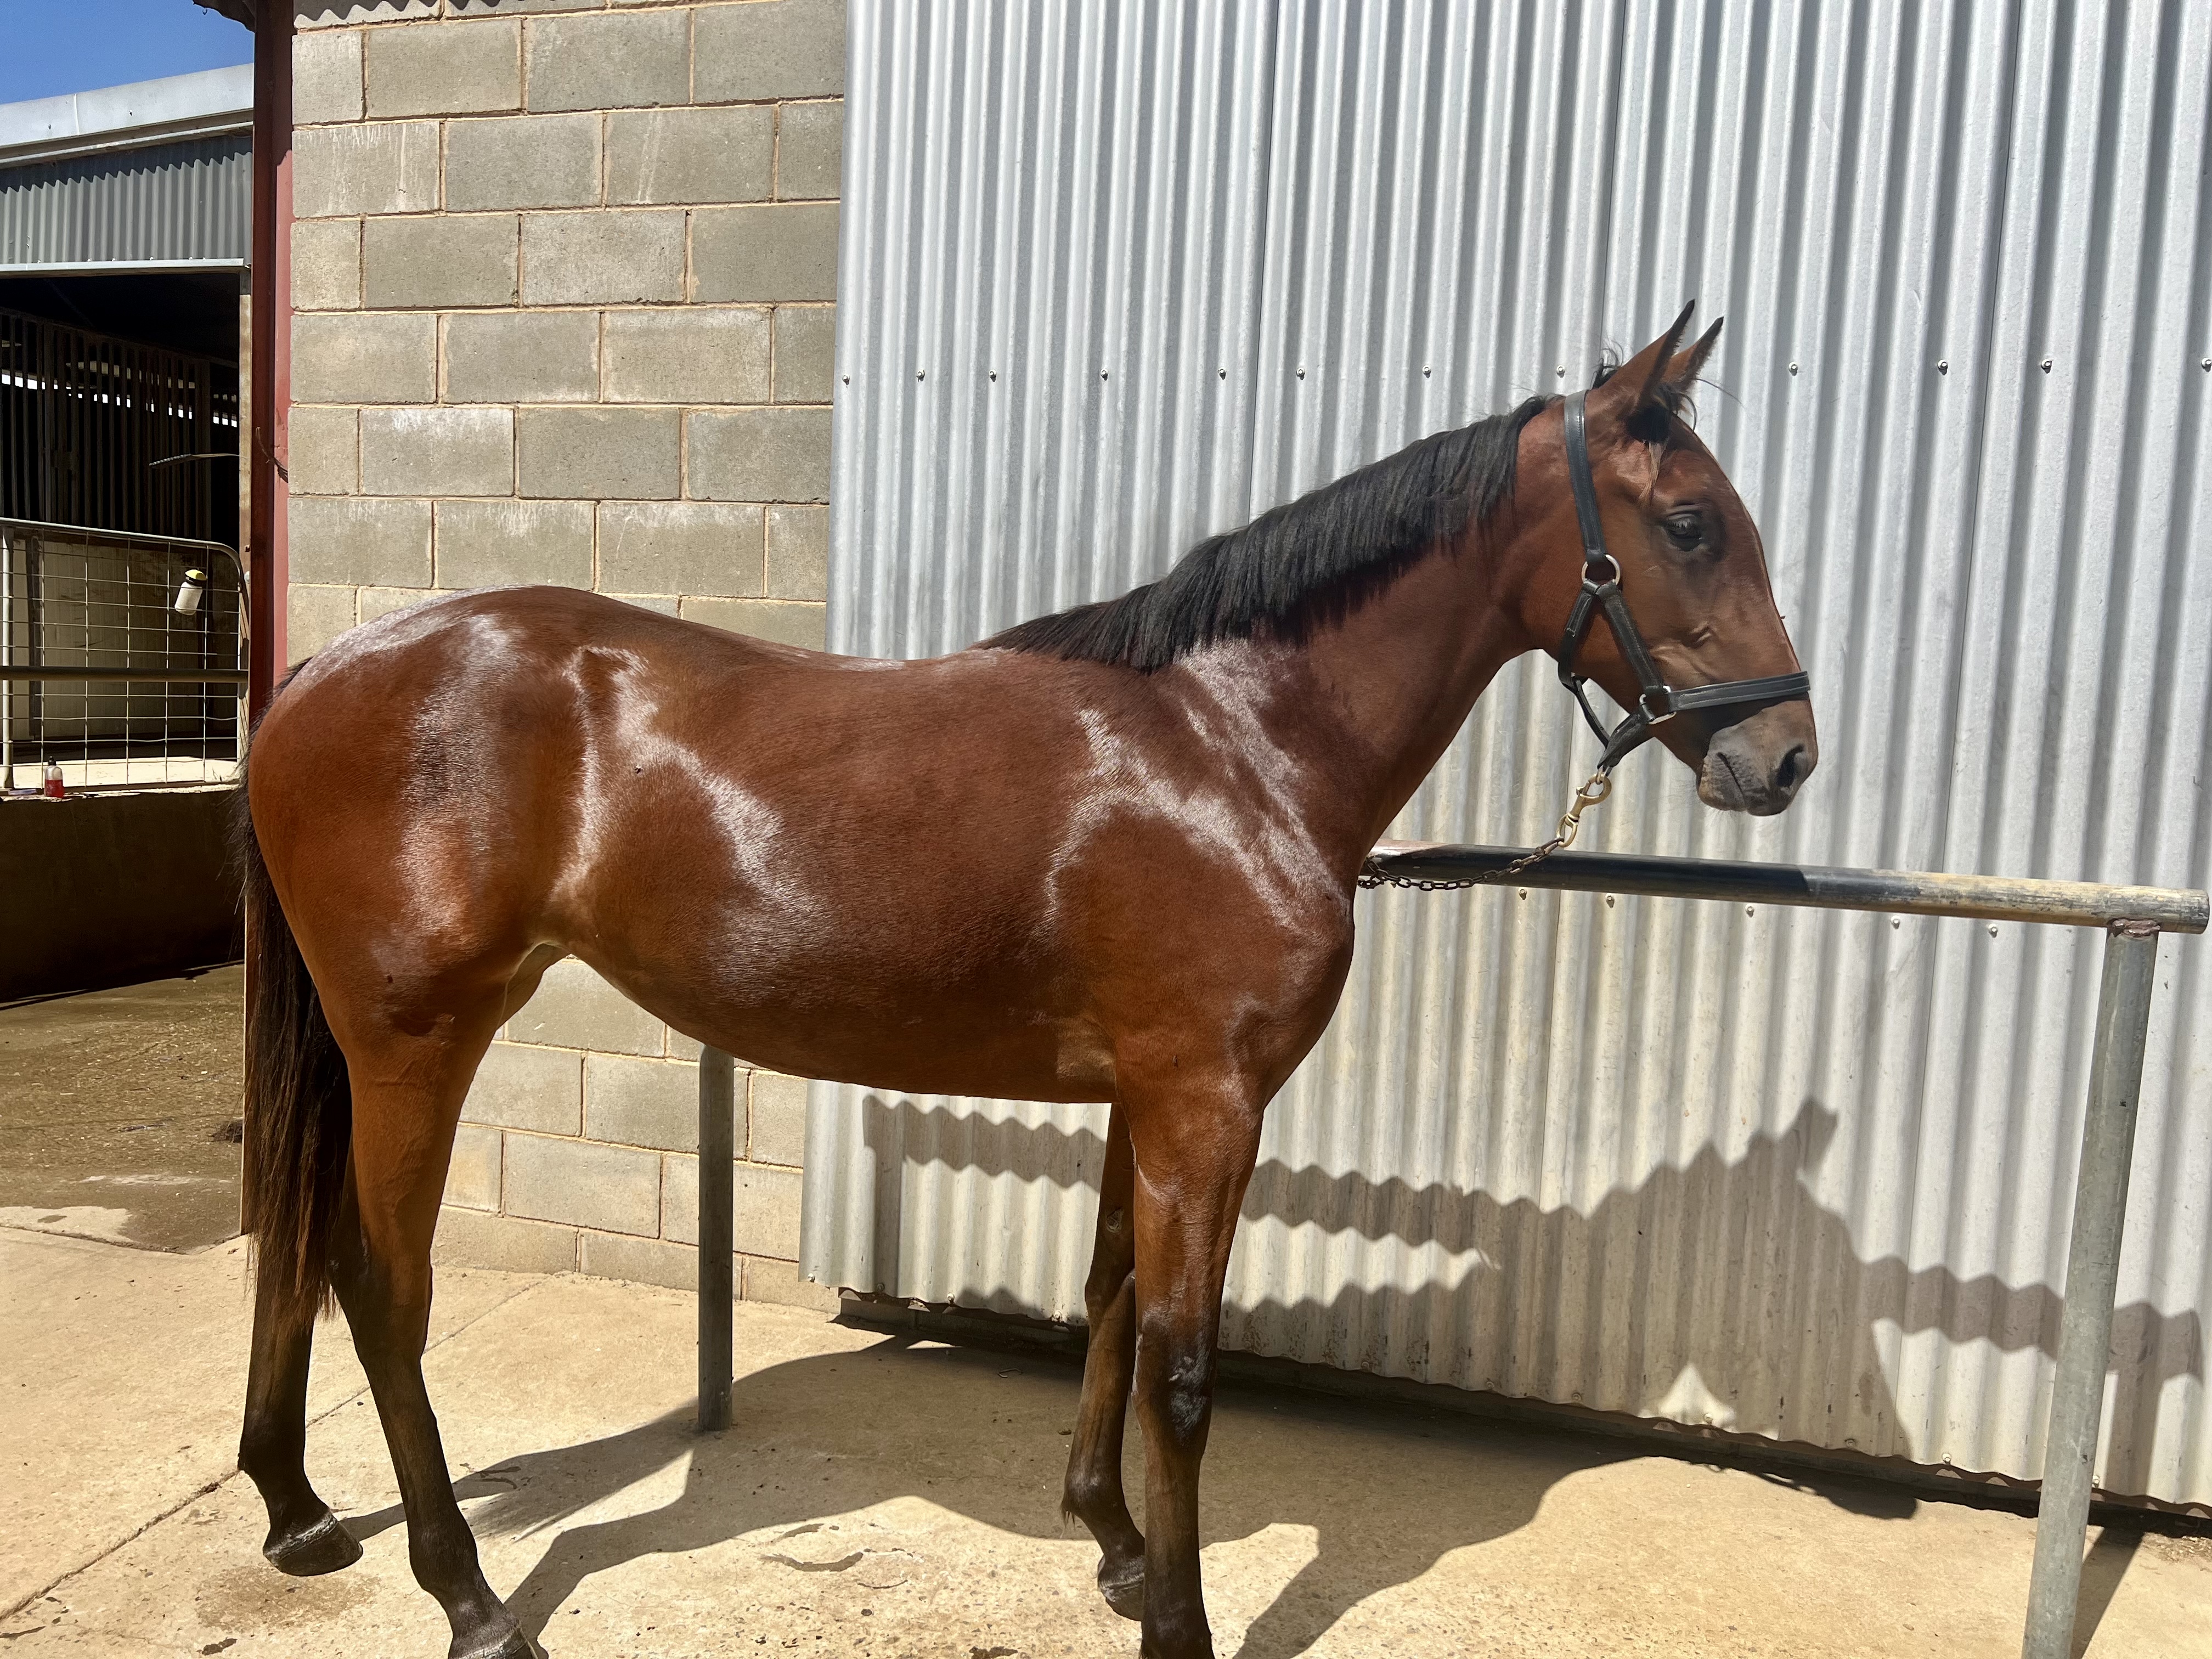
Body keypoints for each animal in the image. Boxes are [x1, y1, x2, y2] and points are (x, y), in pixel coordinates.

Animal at [233, 303, 1816, 1659]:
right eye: (1691, 523)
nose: (1785, 756)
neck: (1238, 748)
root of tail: (320, 676)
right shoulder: (1208, 1105)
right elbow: (1183, 1366)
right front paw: (1178, 1619)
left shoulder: (1148, 1099)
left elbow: (1108, 1293)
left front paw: (1111, 1546)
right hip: (418, 1042)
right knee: (379, 1285)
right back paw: (468, 1597)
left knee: (297, 1253)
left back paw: (297, 1514)